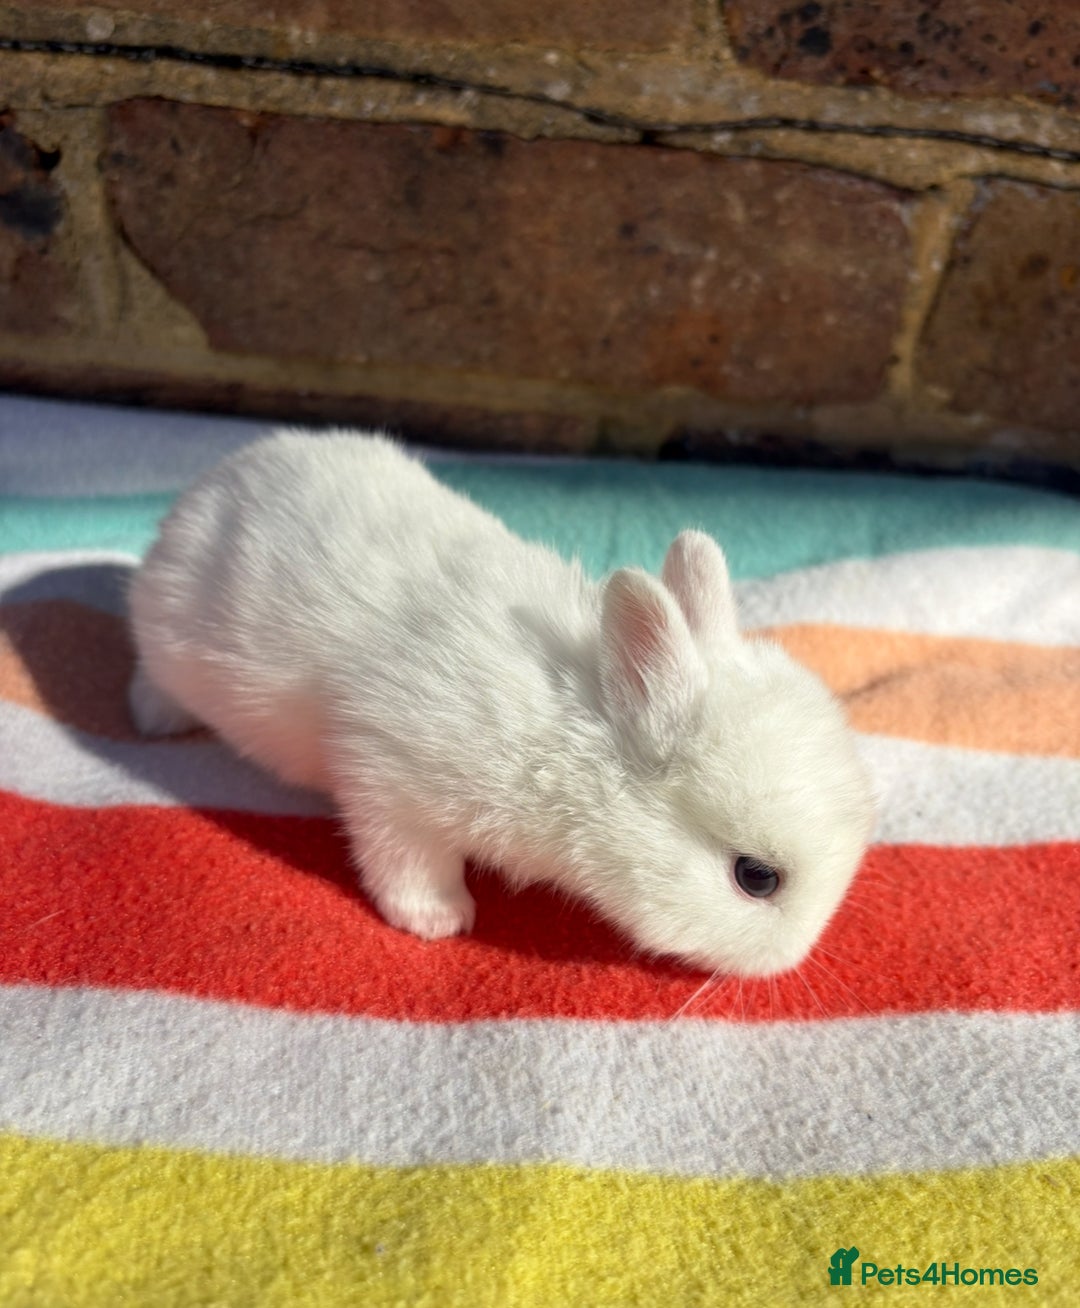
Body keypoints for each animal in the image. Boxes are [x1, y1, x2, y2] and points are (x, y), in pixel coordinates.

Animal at [128, 430, 875, 978]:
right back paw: (153, 721)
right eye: (757, 878)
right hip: (169, 647)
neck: (583, 741)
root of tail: (207, 488)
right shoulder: (388, 778)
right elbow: (404, 858)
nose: (790, 960)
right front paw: (439, 920)